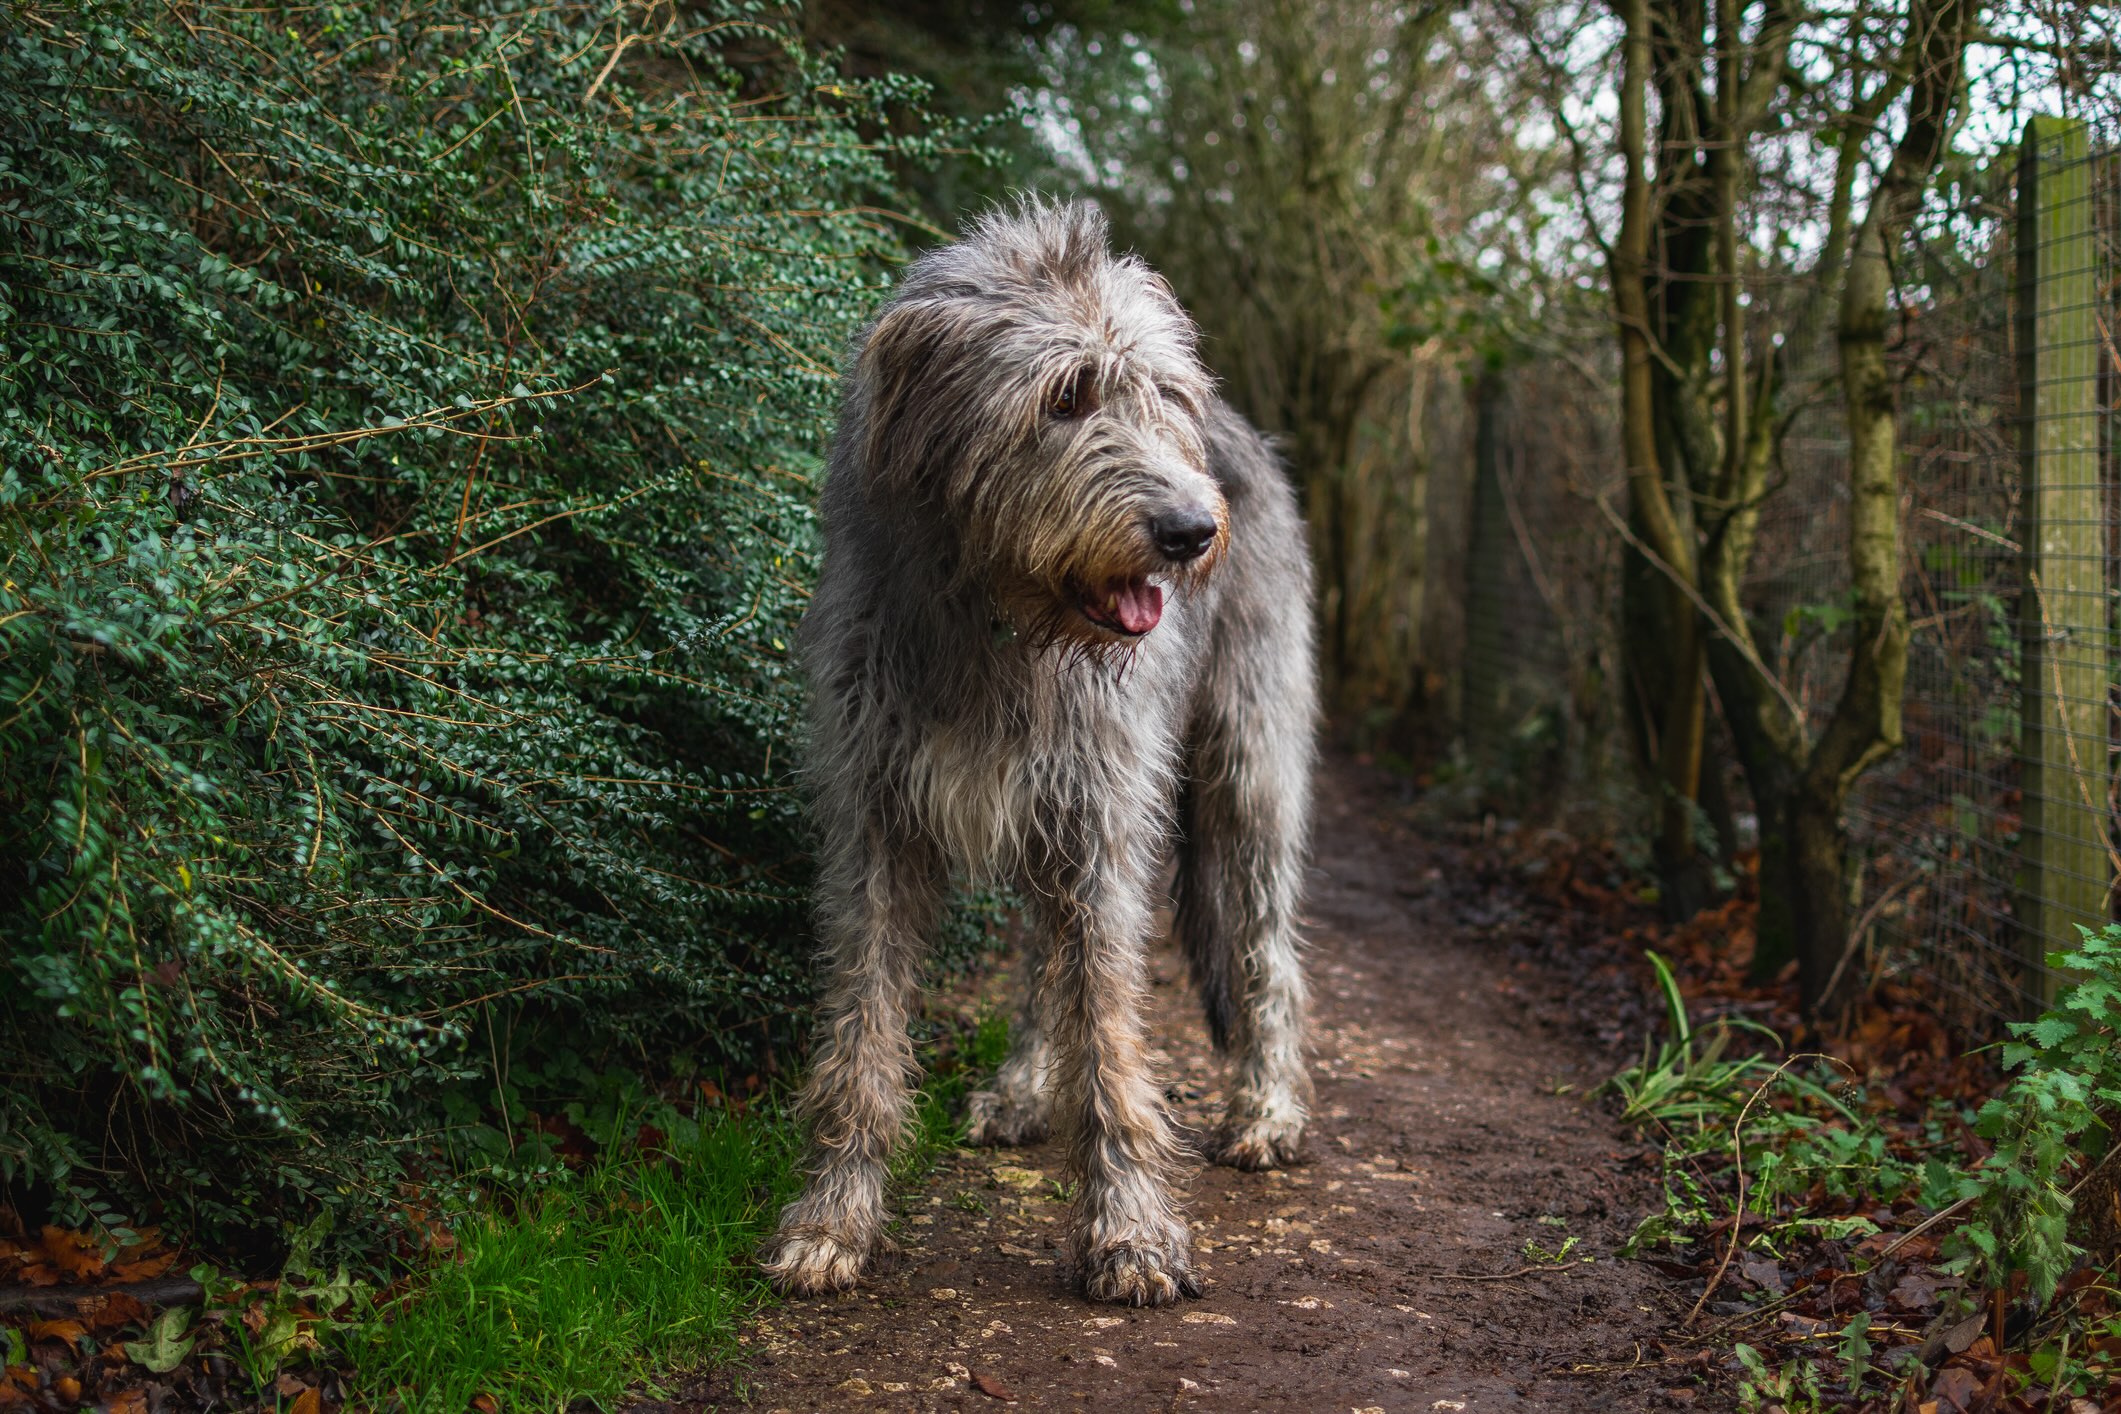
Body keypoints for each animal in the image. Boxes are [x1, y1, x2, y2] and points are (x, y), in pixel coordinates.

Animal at [763, 196, 1315, 1305]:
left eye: (1162, 396)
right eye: (1064, 397)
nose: (1191, 531)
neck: (998, 622)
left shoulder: (1102, 813)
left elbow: (1109, 1031)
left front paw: (1131, 1230)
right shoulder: (874, 820)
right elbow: (862, 1030)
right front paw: (835, 1215)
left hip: (1251, 762)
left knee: (1267, 942)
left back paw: (1267, 1110)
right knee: (1036, 951)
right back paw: (1025, 1085)